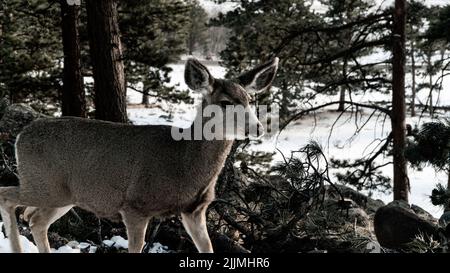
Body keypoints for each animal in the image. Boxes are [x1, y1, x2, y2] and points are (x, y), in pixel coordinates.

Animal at [0, 57, 278, 253]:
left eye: (250, 99)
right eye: (225, 102)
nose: (258, 128)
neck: (184, 161)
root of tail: (21, 135)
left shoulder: (194, 210)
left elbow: (208, 248)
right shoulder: (135, 205)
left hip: (64, 194)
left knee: (34, 219)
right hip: (44, 184)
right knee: (7, 197)